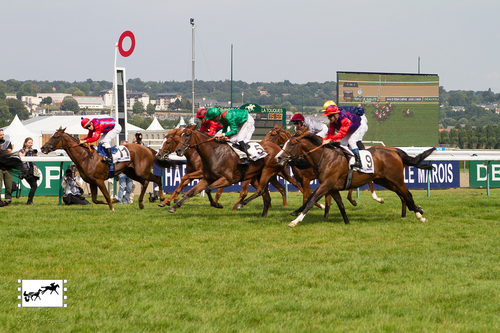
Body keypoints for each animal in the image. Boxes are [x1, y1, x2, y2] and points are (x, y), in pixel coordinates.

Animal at [168, 126, 300, 215]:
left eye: (187, 135)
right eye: (180, 135)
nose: (178, 150)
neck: (213, 153)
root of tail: (279, 149)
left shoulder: (227, 179)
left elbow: (209, 189)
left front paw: (217, 204)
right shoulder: (207, 178)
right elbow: (192, 192)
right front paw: (174, 206)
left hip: (267, 171)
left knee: (261, 190)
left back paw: (240, 205)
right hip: (261, 175)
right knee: (265, 194)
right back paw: (263, 215)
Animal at [276, 131, 436, 227]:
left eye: (291, 144)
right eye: (284, 143)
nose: (278, 157)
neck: (326, 158)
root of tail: (394, 151)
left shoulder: (326, 184)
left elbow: (310, 200)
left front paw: (295, 219)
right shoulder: (332, 188)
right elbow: (340, 205)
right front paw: (347, 223)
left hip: (396, 179)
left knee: (407, 194)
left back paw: (419, 216)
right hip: (384, 181)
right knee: (402, 195)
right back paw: (416, 210)